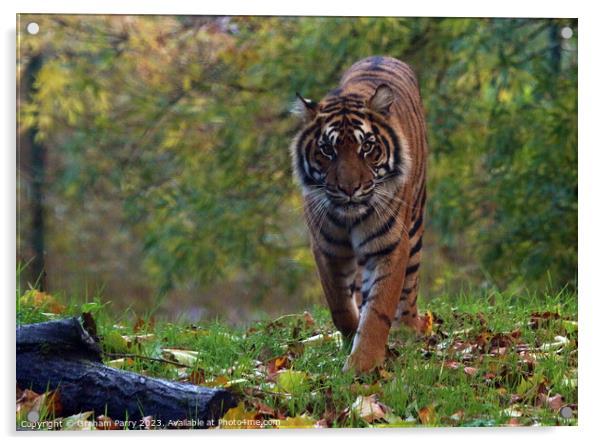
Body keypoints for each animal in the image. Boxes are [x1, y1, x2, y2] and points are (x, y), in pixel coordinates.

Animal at [290, 56, 426, 374]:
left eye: (367, 147)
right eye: (327, 150)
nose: (349, 188)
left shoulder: (390, 246)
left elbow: (378, 310)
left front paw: (363, 365)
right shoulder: (327, 248)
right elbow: (339, 305)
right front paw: (351, 337)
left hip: (415, 225)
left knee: (410, 285)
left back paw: (407, 328)